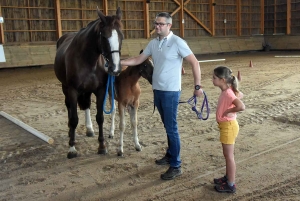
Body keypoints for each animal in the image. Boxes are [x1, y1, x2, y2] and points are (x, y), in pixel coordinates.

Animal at [53, 7, 123, 159]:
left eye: (121, 37)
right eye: (104, 37)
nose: (115, 68)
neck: (88, 60)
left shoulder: (100, 90)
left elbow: (100, 117)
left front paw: (102, 146)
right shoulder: (73, 90)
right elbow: (74, 119)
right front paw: (72, 148)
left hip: (87, 90)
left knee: (86, 105)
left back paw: (89, 129)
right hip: (65, 88)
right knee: (69, 107)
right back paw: (70, 131)